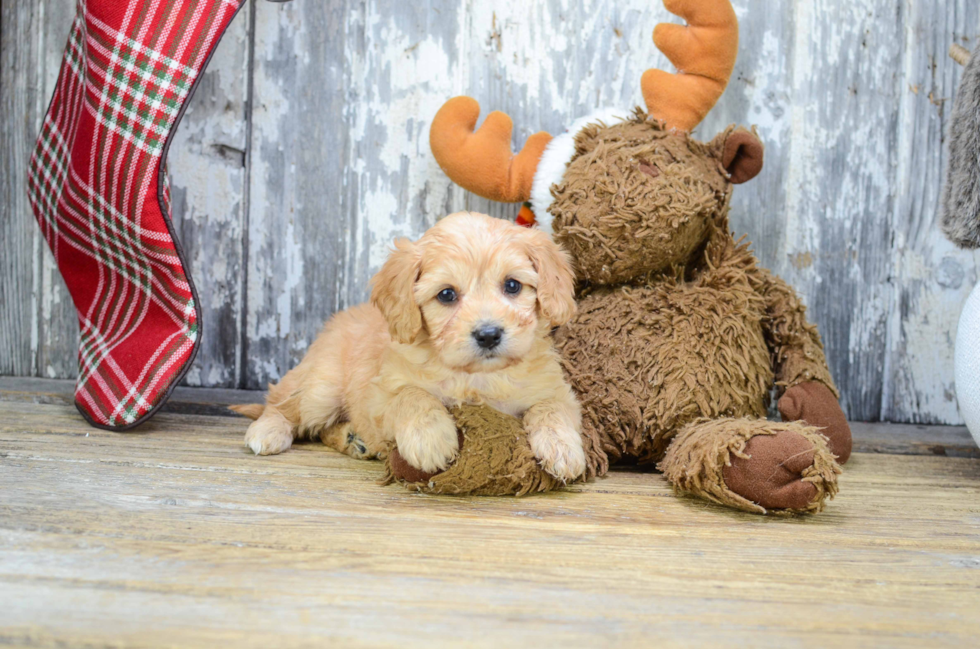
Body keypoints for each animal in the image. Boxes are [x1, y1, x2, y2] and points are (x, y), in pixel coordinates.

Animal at [235, 211, 588, 480]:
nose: (488, 334)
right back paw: (266, 431)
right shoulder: (380, 394)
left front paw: (562, 448)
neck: (476, 376)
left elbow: (551, 408)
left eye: (512, 285)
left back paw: (354, 439)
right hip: (321, 389)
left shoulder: (555, 390)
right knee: (282, 403)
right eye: (446, 294)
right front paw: (430, 439)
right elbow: (412, 396)